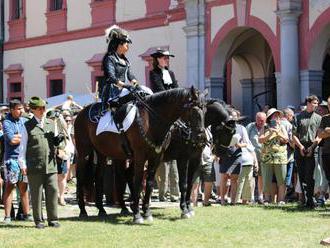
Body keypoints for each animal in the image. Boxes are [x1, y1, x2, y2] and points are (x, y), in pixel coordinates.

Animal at [74, 87, 206, 225]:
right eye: (194, 110)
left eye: (204, 109)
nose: (201, 137)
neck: (151, 121)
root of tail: (81, 113)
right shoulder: (144, 156)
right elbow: (138, 182)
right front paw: (137, 215)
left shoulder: (157, 157)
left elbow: (150, 183)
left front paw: (147, 212)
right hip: (83, 153)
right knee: (81, 177)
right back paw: (83, 210)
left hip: (104, 154)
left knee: (100, 178)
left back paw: (103, 209)